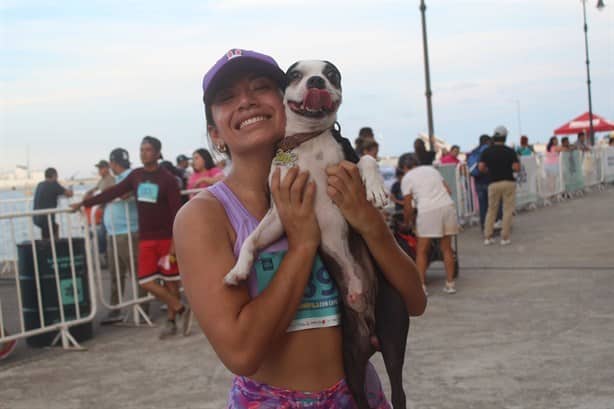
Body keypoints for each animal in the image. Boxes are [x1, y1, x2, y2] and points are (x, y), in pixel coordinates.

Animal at [225, 60, 410, 408]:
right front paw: (237, 271)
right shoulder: (278, 216)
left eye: (332, 74)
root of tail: (367, 320)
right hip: (351, 358)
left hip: (393, 334)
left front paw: (375, 188)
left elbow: (367, 158)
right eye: (295, 75)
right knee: (360, 394)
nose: (316, 82)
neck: (306, 140)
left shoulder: (348, 159)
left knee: (399, 389)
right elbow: (253, 239)